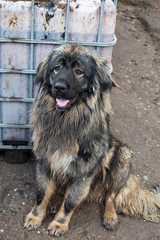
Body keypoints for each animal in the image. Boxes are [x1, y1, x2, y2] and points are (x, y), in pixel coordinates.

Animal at [24, 44, 160, 236]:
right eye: (56, 68)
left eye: (79, 71)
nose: (59, 87)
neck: (66, 122)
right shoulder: (46, 163)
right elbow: (42, 194)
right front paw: (35, 217)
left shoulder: (84, 173)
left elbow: (70, 202)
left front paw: (59, 223)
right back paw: (55, 203)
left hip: (123, 157)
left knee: (111, 196)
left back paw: (110, 216)